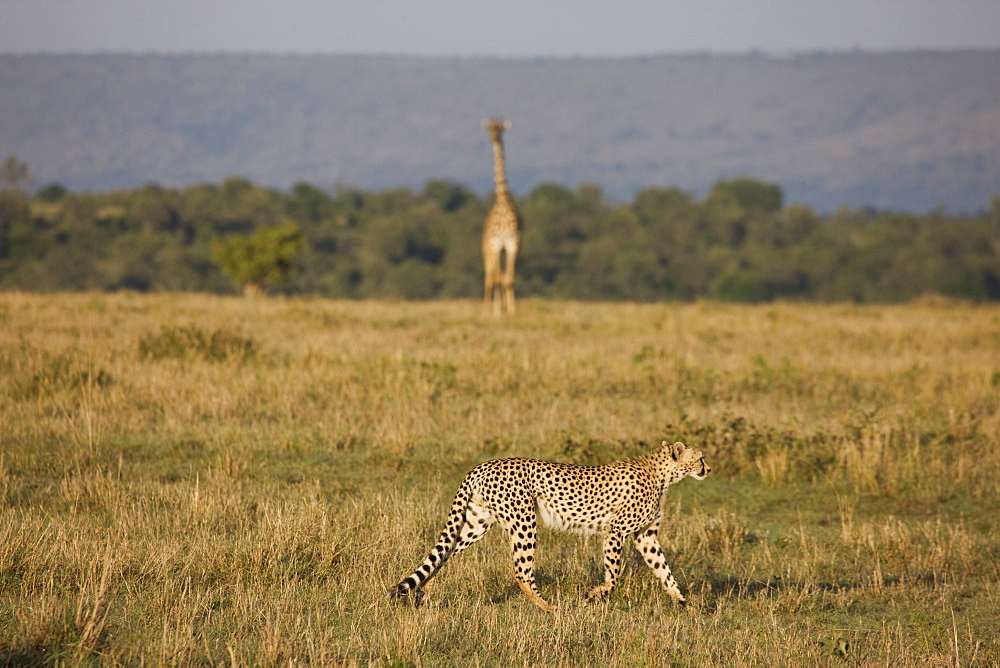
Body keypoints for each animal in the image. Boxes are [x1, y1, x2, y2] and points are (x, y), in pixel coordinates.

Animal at [390, 440, 712, 612]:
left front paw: (684, 603)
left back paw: (425, 592)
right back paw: (551, 608)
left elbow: (664, 570)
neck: (661, 474)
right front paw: (595, 594)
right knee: (521, 572)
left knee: (444, 554)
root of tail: (483, 465)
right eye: (699, 458)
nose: (708, 469)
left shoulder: (646, 536)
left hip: (476, 522)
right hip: (524, 521)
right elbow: (615, 574)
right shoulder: (616, 530)